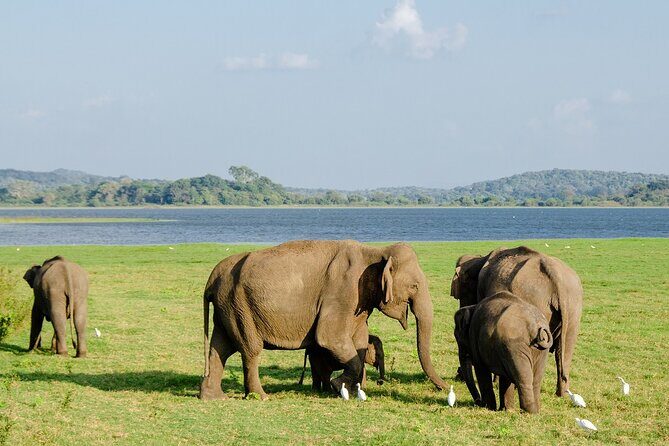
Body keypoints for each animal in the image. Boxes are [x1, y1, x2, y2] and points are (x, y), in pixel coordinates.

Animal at [199, 240, 447, 400]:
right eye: (414, 286)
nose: (445, 388)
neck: (374, 252)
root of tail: (211, 279)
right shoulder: (342, 292)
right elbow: (329, 337)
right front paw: (338, 387)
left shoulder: (359, 301)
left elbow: (358, 340)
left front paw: (350, 390)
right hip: (239, 306)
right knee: (250, 349)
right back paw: (261, 397)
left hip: (227, 307)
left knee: (220, 347)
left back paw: (213, 397)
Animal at [450, 246, 582, 397]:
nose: (458, 376)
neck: (480, 258)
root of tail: (555, 275)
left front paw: (496, 381)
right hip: (573, 306)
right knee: (564, 350)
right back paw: (562, 394)